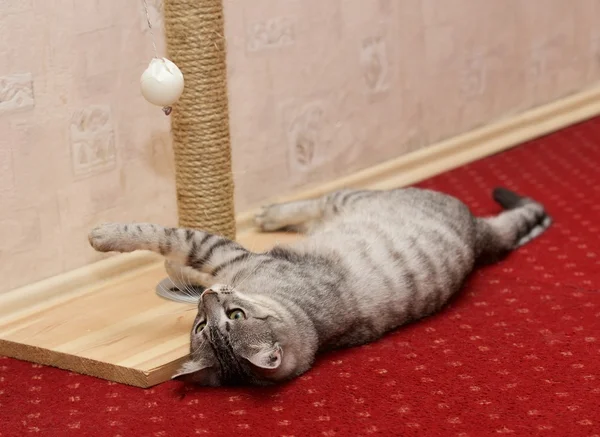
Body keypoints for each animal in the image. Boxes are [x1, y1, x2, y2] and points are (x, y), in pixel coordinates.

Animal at [86, 185, 552, 384]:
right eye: (201, 327)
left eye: (233, 315)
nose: (208, 296)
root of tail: (479, 235)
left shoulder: (223, 253)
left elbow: (166, 237)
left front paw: (105, 235)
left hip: (351, 198)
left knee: (313, 205)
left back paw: (271, 213)